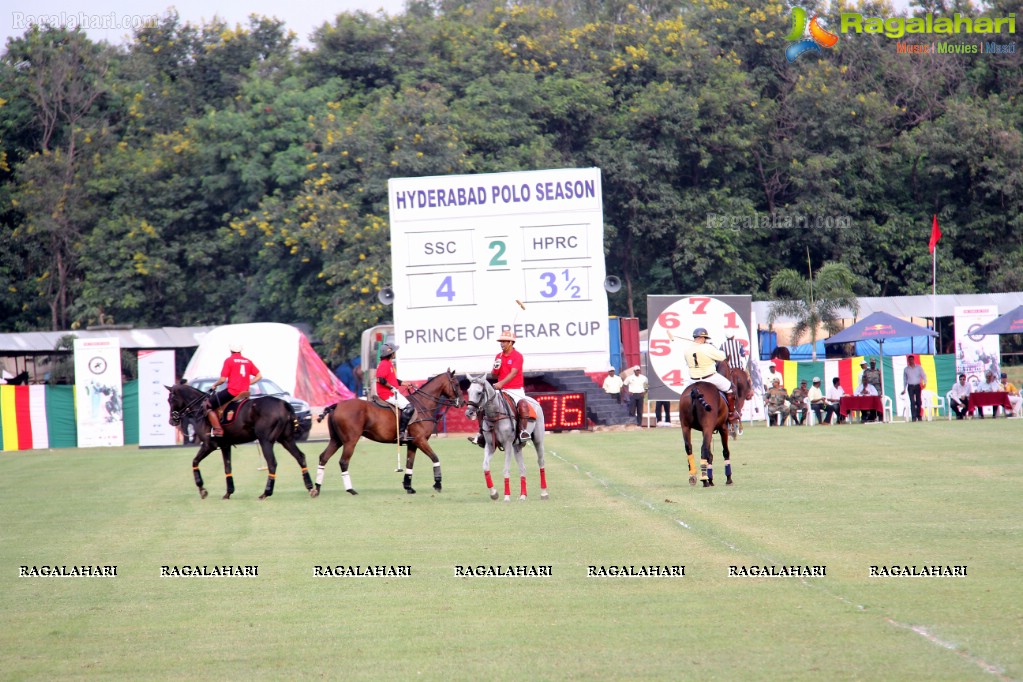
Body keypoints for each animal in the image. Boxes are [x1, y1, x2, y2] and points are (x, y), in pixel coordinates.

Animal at [166, 384, 315, 501]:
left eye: (171, 399)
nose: (172, 421)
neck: (199, 409)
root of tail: (283, 404)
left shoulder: (209, 445)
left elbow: (195, 461)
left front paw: (202, 489)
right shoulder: (225, 445)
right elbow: (227, 467)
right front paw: (228, 492)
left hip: (265, 441)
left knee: (272, 463)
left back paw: (266, 493)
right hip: (286, 439)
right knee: (300, 457)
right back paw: (310, 488)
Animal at [306, 370, 460, 498]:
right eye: (457, 384)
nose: (462, 402)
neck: (423, 405)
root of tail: (336, 405)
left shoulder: (412, 443)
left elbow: (409, 464)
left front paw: (408, 487)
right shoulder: (420, 440)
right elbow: (435, 458)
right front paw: (438, 484)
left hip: (336, 440)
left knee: (323, 457)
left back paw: (317, 489)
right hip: (350, 441)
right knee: (343, 461)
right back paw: (351, 490)